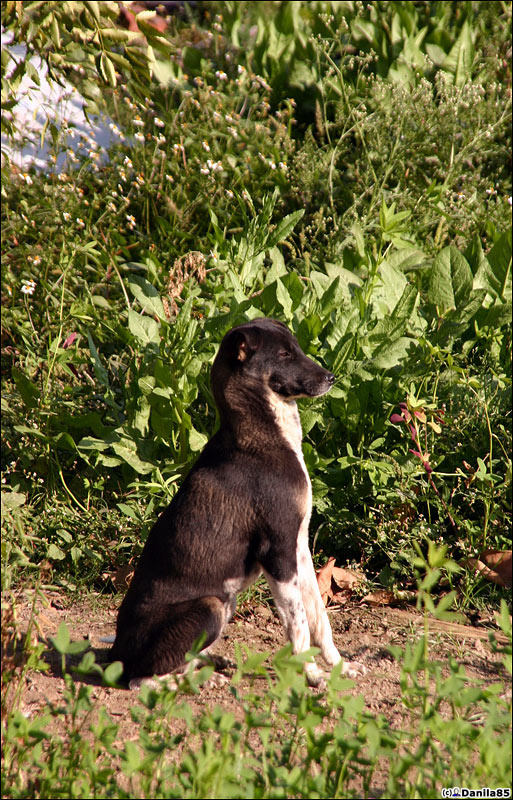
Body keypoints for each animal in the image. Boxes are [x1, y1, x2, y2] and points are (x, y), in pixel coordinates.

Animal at [111, 318, 366, 688]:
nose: (331, 377)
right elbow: (299, 627)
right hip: (211, 606)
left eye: (296, 348)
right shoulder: (277, 553)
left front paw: (340, 668)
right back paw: (191, 682)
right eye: (285, 354)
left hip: (226, 603)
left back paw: (208, 665)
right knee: (142, 680)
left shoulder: (299, 547)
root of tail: (117, 652)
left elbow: (319, 619)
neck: (267, 438)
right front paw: (313, 675)